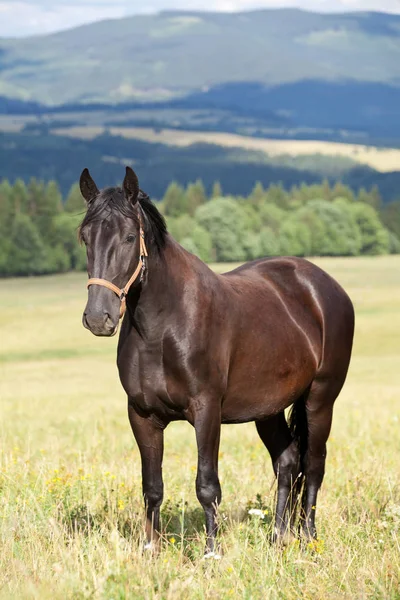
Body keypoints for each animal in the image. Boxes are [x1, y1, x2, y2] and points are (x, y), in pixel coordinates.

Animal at [79, 165, 354, 556]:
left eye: (130, 236)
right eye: (85, 237)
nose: (98, 317)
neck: (162, 327)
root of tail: (324, 286)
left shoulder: (206, 410)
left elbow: (207, 485)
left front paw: (211, 552)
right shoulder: (142, 415)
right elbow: (152, 487)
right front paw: (150, 549)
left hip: (320, 399)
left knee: (313, 465)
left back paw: (308, 538)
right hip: (267, 409)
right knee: (286, 462)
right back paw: (278, 537)